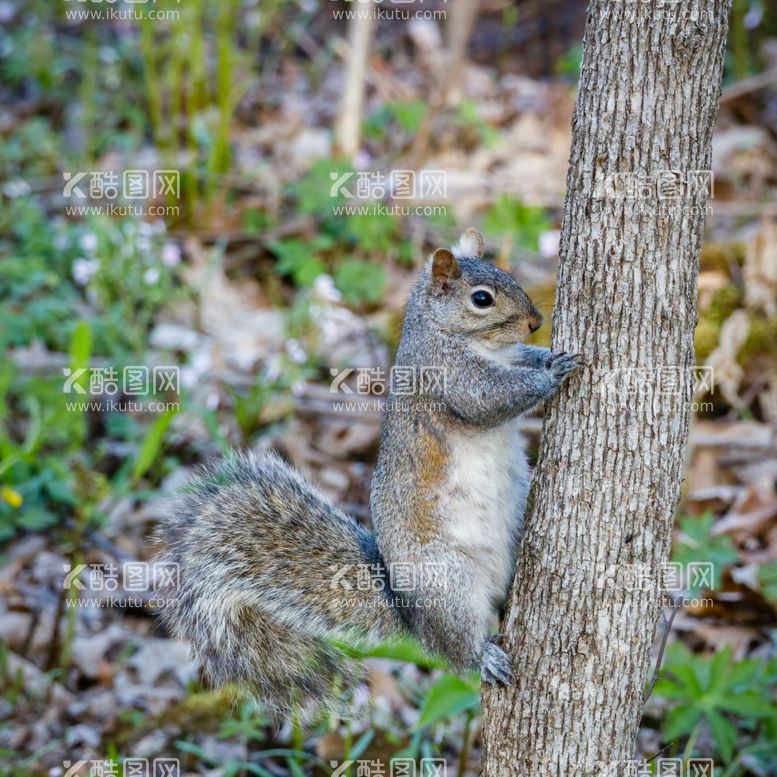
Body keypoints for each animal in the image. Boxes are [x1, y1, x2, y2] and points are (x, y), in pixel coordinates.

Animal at [159, 229, 584, 716]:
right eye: (482, 299)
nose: (535, 322)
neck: (453, 335)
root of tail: (411, 617)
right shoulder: (447, 375)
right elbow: (490, 398)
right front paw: (553, 372)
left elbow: (521, 364)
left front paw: (546, 354)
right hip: (448, 585)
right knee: (455, 651)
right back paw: (484, 659)